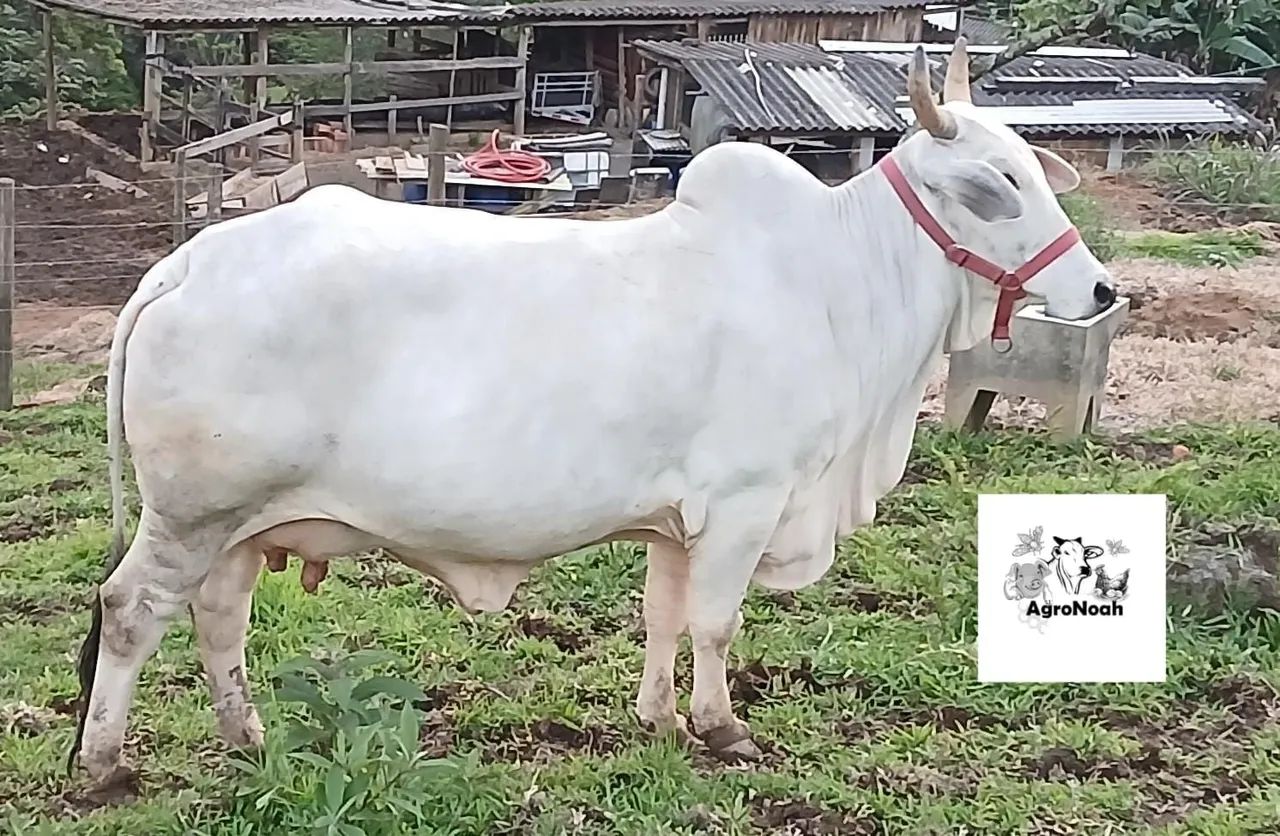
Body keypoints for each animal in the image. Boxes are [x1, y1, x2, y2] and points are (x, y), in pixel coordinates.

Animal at [67, 39, 1116, 789]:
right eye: (996, 186)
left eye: (1035, 172)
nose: (1102, 289)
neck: (836, 280)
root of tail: (186, 263)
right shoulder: (747, 503)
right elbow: (716, 624)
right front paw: (722, 729)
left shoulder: (676, 522)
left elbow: (664, 617)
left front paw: (659, 719)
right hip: (192, 513)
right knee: (129, 613)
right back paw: (103, 766)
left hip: (240, 527)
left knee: (217, 618)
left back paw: (244, 736)